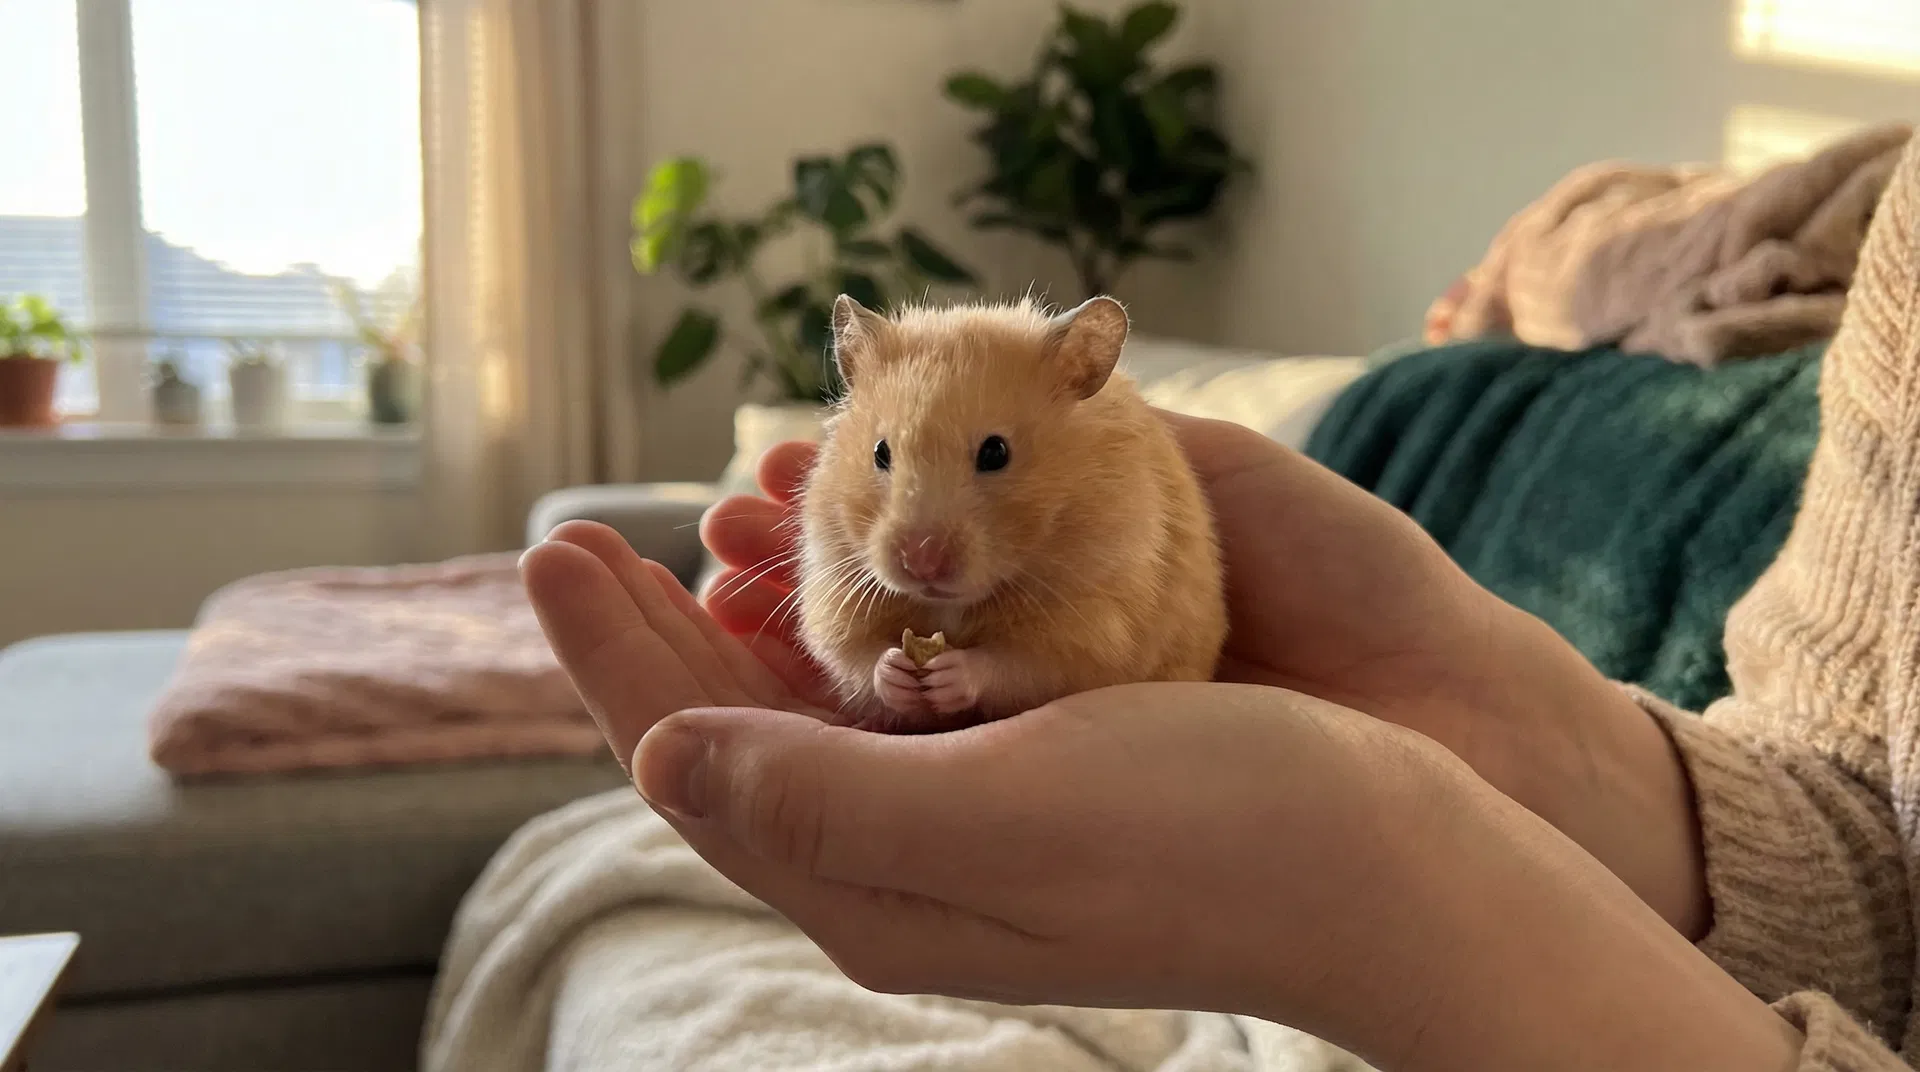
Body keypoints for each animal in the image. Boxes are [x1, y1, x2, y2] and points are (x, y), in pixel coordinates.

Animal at [794, 292, 1228, 730]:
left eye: (996, 452)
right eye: (880, 452)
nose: (921, 563)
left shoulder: (1093, 623)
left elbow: (1014, 665)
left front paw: (951, 672)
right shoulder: (832, 588)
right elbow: (853, 653)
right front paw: (895, 669)